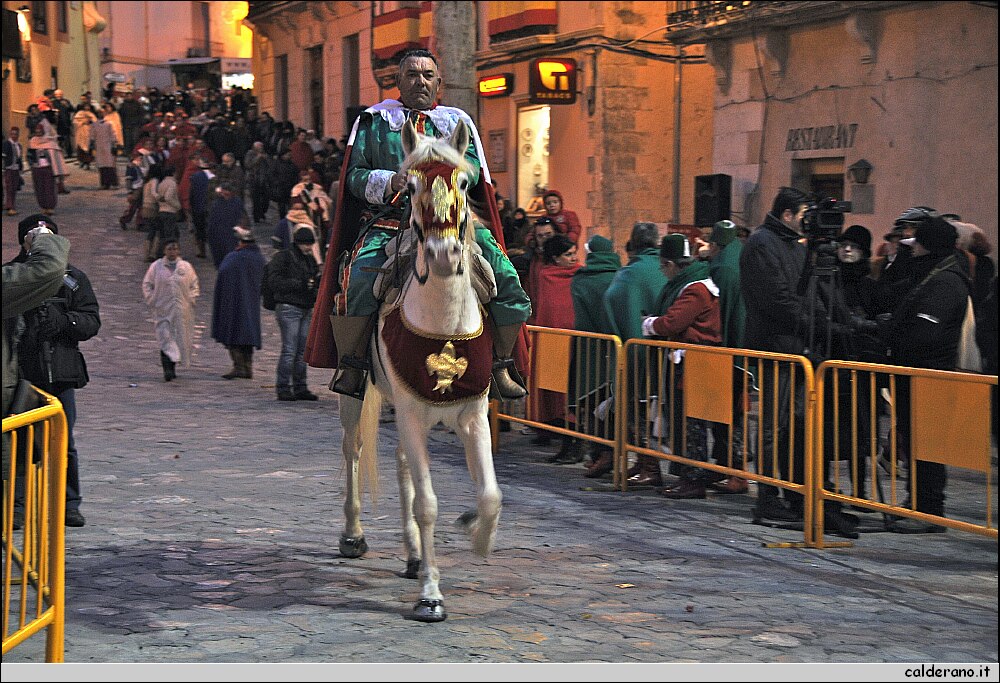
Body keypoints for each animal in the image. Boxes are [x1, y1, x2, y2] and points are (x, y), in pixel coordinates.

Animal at [337, 119, 502, 623]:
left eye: (464, 183)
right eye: (408, 187)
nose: (444, 255)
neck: (444, 322)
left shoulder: (472, 416)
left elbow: (490, 496)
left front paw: (477, 534)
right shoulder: (410, 414)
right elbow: (428, 503)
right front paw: (431, 595)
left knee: (403, 464)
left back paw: (412, 555)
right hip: (356, 397)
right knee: (353, 450)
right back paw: (353, 535)